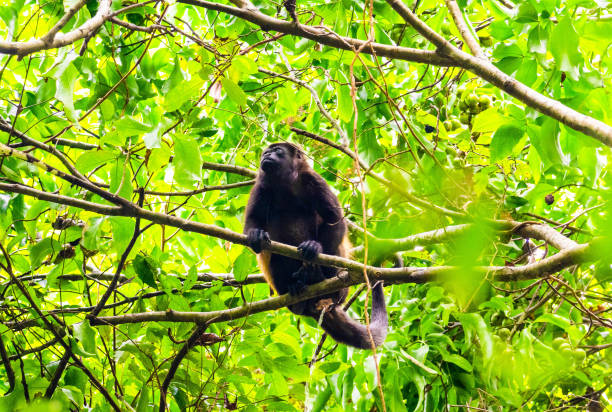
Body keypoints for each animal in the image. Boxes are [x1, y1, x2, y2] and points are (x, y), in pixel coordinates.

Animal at [244, 142, 388, 348]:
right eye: (266, 152)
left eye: (277, 150)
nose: (266, 155)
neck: (284, 184)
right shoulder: (261, 186)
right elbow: (252, 220)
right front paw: (256, 235)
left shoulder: (313, 180)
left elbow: (334, 219)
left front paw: (314, 251)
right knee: (278, 258)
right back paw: (295, 292)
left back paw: (317, 276)